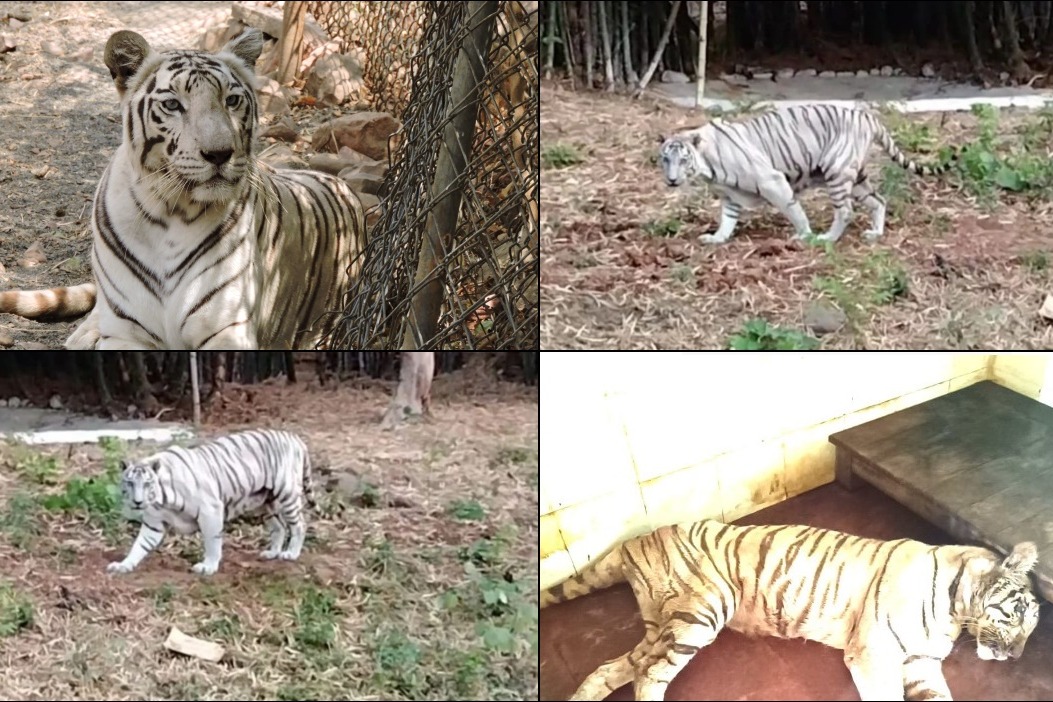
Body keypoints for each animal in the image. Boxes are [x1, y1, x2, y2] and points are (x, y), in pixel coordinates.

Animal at [0, 28, 365, 349]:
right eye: (173, 105)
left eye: (232, 100)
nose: (219, 153)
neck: (169, 212)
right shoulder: (126, 333)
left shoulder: (227, 327)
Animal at [107, 428, 316, 576]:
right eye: (130, 483)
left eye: (147, 483)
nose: (138, 502)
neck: (161, 499)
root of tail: (294, 437)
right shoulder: (154, 523)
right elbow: (138, 546)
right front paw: (124, 565)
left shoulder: (210, 511)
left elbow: (212, 542)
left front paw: (208, 567)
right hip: (263, 504)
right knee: (279, 527)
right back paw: (272, 553)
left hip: (287, 495)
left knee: (300, 524)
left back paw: (291, 554)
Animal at [541, 519, 1041, 701]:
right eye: (1017, 615)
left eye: (1034, 630)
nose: (1017, 657)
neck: (958, 614)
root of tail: (637, 539)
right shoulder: (873, 655)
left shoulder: (920, 664)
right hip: (703, 611)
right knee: (648, 677)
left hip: (662, 624)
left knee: (609, 670)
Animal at [656, 104, 954, 246]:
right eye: (665, 159)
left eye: (683, 160)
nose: (671, 179)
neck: (707, 166)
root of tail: (867, 117)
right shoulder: (730, 196)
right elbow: (727, 221)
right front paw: (716, 239)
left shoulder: (772, 181)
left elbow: (794, 210)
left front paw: (804, 235)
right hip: (856, 177)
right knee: (879, 200)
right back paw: (875, 233)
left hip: (837, 172)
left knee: (845, 211)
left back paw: (827, 239)